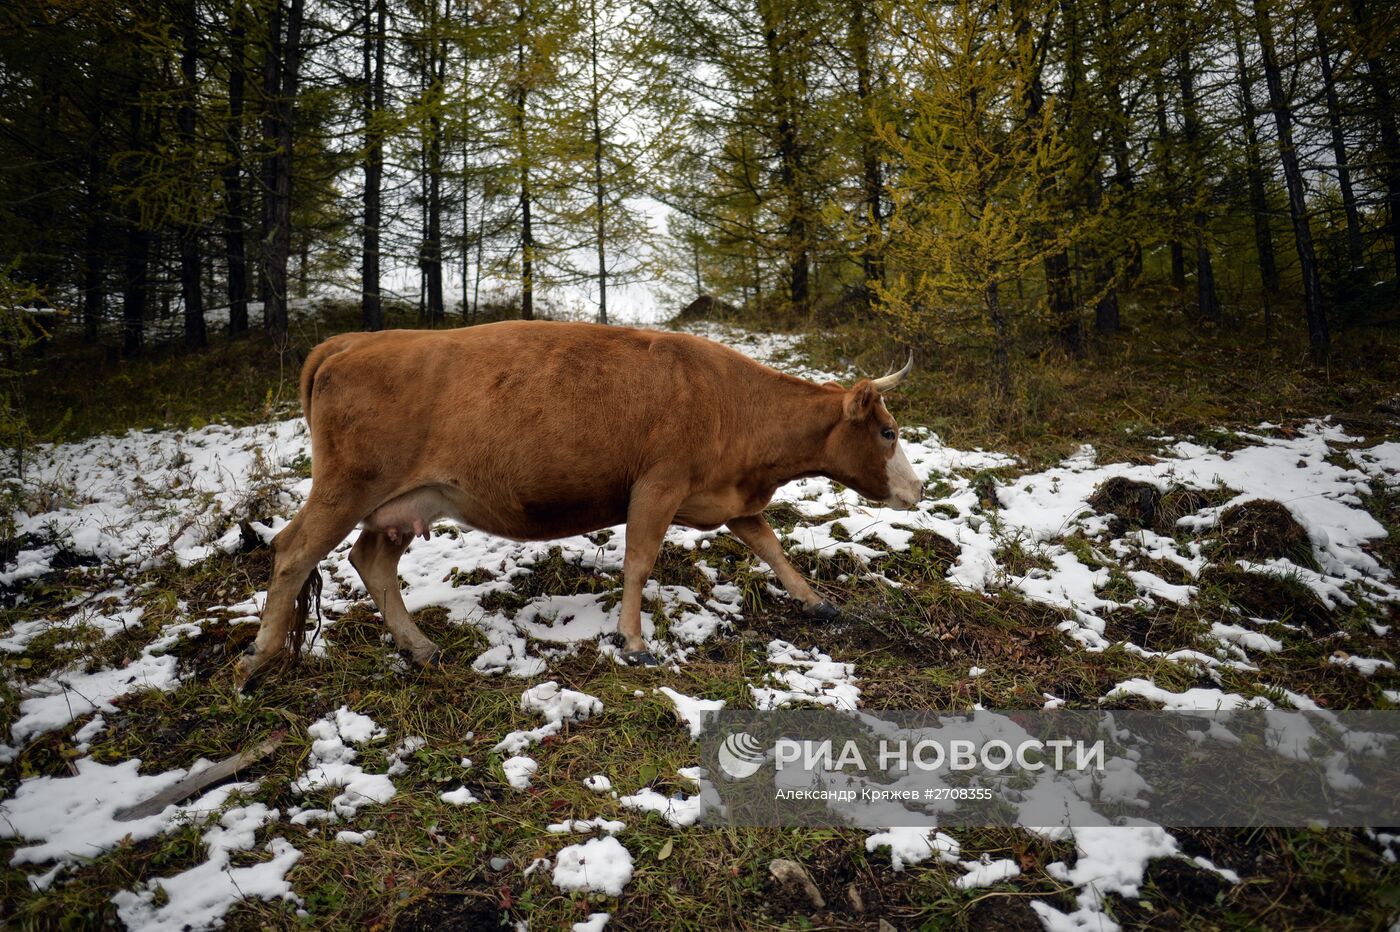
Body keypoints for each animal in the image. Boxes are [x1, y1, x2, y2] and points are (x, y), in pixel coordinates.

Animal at [236, 319, 924, 682]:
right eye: (888, 432)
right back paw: (259, 658)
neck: (732, 402)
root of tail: (351, 341)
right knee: (292, 550)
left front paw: (815, 602)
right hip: (347, 486)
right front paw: (634, 641)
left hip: (405, 503)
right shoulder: (656, 486)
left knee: (370, 561)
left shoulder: (729, 497)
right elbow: (639, 562)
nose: (917, 490)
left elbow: (772, 547)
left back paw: (420, 646)